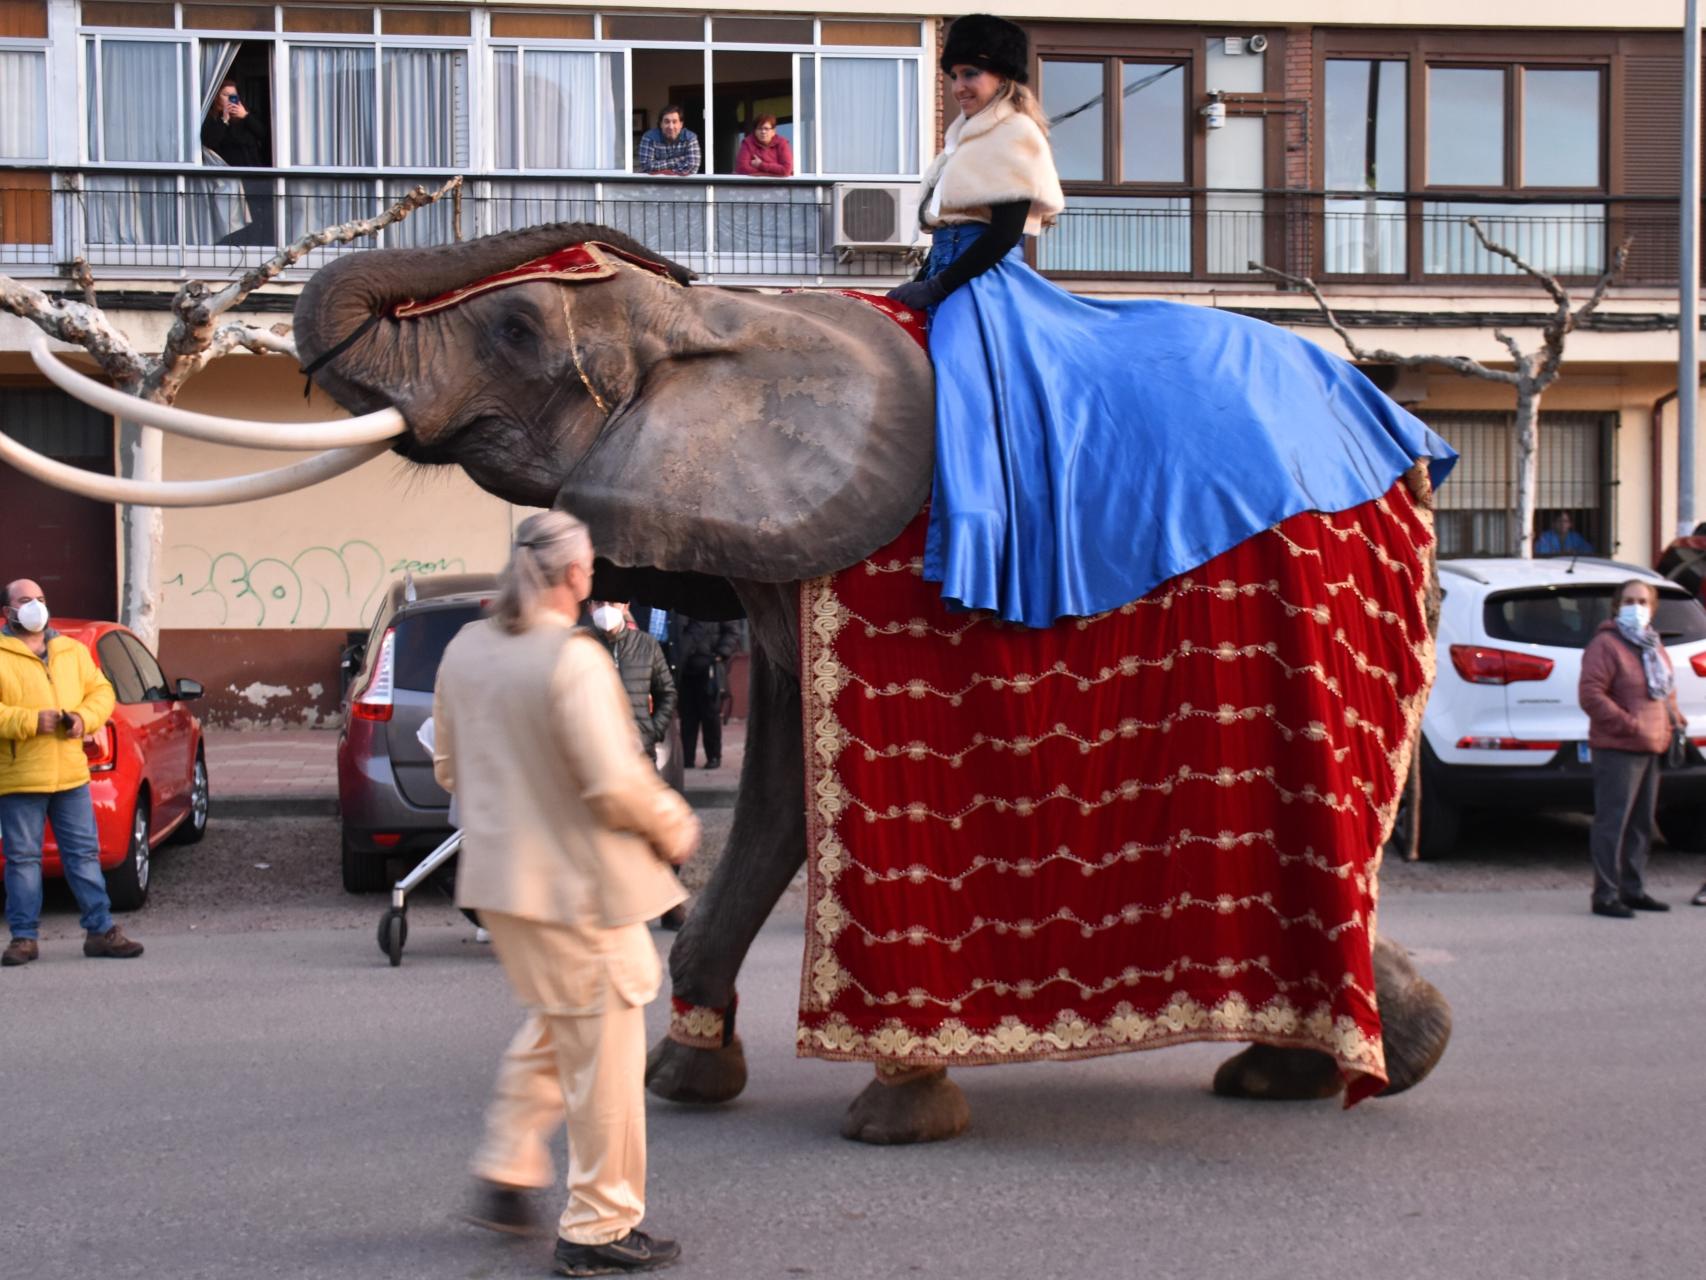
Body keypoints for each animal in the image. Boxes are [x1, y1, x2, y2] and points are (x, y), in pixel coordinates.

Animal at [13, 221, 1453, 1143]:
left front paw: (893, 1112)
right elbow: (772, 798)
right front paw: (678, 1080)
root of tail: (1402, 430)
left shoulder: (890, 586)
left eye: (521, 326)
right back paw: (1345, 1058)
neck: (744, 322)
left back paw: (1345, 1058)